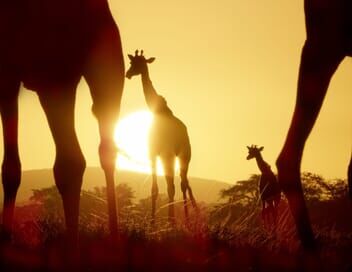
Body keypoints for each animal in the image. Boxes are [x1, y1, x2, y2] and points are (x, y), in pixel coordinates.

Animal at [126, 50, 198, 223]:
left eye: (137, 64)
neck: (157, 110)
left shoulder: (161, 153)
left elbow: (165, 187)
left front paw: (165, 221)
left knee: (177, 184)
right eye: (132, 62)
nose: (127, 74)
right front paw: (152, 222)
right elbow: (155, 189)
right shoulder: (154, 154)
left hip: (178, 155)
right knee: (183, 183)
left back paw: (179, 220)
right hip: (178, 156)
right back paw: (188, 217)